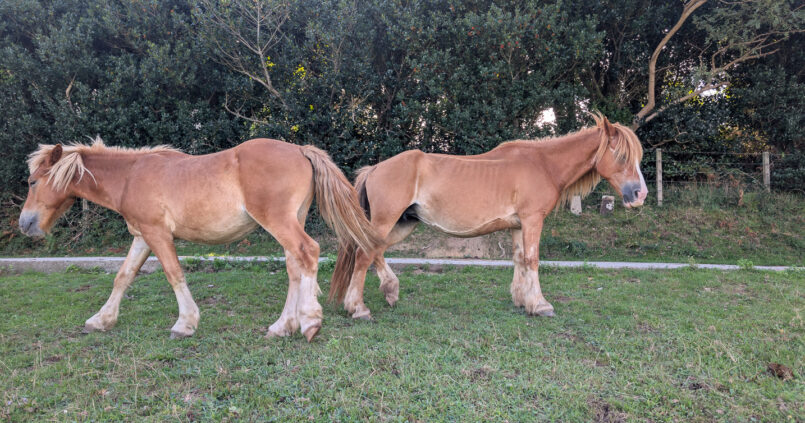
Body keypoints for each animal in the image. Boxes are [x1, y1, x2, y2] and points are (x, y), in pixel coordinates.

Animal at [19, 137, 380, 342]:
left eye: (33, 181)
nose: (25, 223)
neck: (131, 175)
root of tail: (301, 151)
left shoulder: (158, 234)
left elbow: (174, 274)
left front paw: (185, 324)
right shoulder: (142, 237)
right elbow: (123, 277)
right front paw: (101, 320)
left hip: (279, 222)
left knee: (308, 253)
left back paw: (309, 322)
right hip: (290, 221)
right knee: (295, 266)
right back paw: (282, 326)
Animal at [329, 113, 648, 320]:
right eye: (621, 156)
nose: (640, 194)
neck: (543, 164)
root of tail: (375, 168)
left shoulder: (519, 225)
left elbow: (520, 259)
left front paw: (522, 301)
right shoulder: (533, 220)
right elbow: (533, 260)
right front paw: (541, 305)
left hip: (402, 223)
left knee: (375, 251)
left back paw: (390, 291)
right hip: (387, 220)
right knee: (365, 254)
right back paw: (358, 309)